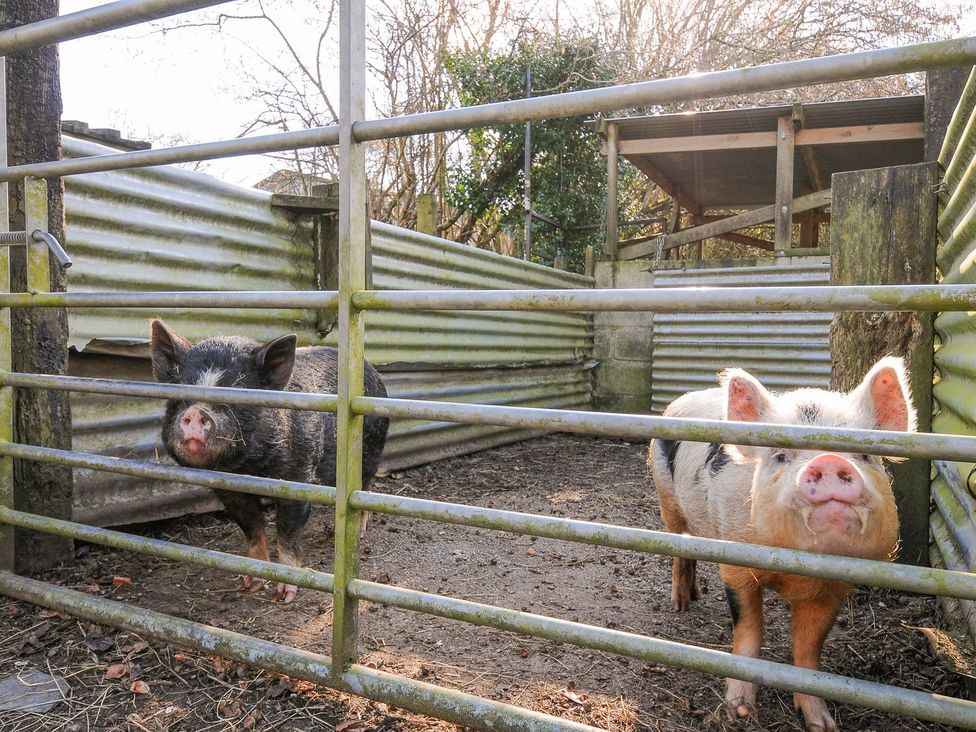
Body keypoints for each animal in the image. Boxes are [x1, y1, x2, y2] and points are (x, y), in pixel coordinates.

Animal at [150, 319, 389, 604]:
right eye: (180, 390)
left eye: (240, 392)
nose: (196, 412)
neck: (251, 469)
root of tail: (372, 371)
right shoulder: (229, 489)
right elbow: (252, 530)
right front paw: (250, 583)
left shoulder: (298, 477)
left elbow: (287, 532)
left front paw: (285, 595)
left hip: (371, 450)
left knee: (365, 488)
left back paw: (360, 532)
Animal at [648, 357, 916, 732]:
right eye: (779, 456)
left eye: (865, 455)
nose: (828, 461)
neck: (796, 571)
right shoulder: (736, 564)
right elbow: (748, 629)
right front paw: (739, 712)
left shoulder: (834, 587)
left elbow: (808, 648)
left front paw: (822, 724)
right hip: (666, 497)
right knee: (678, 547)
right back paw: (681, 605)